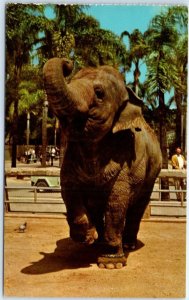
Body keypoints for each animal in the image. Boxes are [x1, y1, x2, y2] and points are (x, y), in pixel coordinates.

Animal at [43, 57, 162, 268]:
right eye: (71, 80)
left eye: (99, 93)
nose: (68, 63)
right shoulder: (70, 156)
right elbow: (68, 190)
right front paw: (85, 237)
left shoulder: (129, 158)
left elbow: (117, 202)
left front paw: (110, 263)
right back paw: (98, 241)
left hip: (152, 173)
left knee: (138, 206)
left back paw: (128, 244)